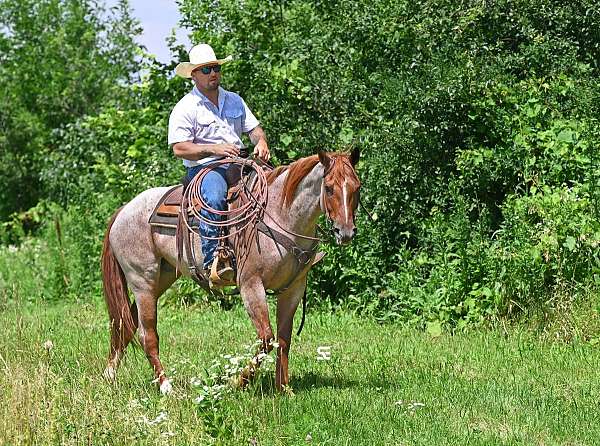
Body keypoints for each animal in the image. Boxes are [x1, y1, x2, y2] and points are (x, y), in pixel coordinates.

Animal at [101, 149, 360, 390]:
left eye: (357, 187)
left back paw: (109, 375)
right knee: (147, 335)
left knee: (125, 325)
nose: (345, 231)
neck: (280, 215)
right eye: (329, 188)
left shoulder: (293, 289)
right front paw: (238, 382)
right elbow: (266, 339)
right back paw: (166, 386)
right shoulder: (251, 285)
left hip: (159, 280)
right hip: (141, 281)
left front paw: (284, 389)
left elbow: (283, 340)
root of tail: (123, 210)